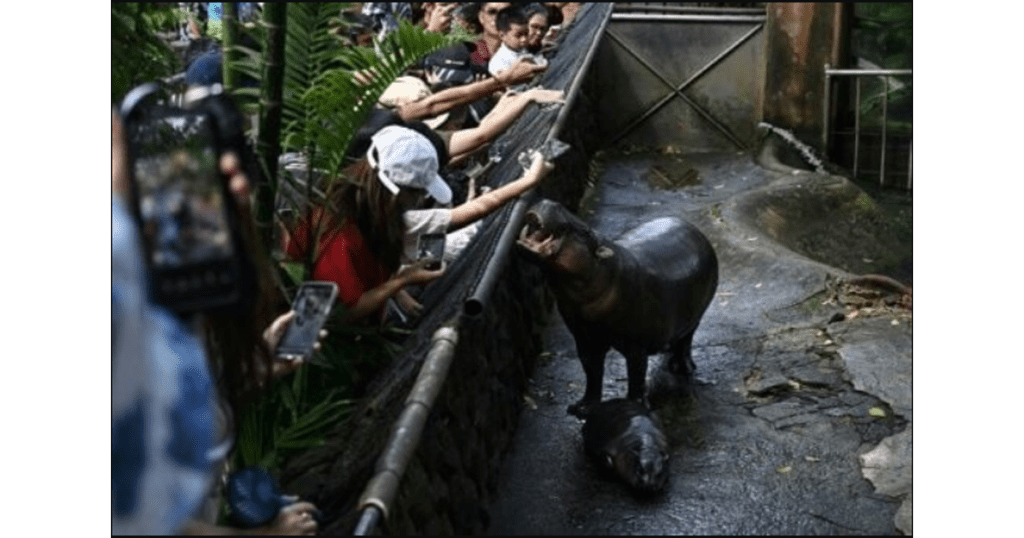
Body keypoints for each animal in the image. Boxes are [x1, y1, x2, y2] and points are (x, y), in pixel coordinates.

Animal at [516, 198, 716, 418]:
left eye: (586, 231)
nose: (549, 201)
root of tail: (695, 230)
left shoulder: (636, 344)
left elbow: (636, 376)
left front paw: (635, 407)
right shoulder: (585, 338)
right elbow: (592, 371)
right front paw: (581, 408)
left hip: (696, 315)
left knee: (686, 339)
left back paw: (683, 367)